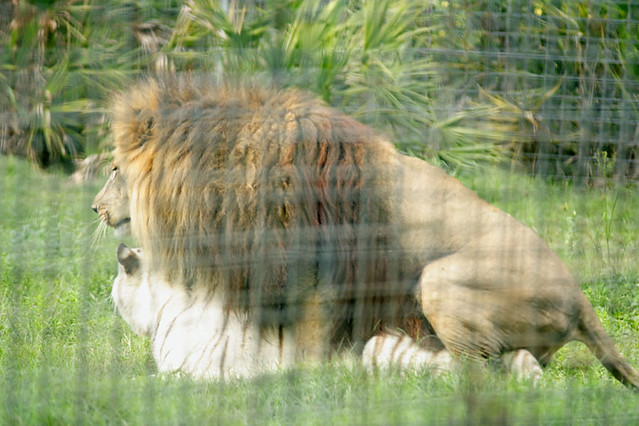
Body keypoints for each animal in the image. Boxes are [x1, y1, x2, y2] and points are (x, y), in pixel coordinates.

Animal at [94, 76, 639, 390]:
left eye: (115, 169)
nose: (97, 208)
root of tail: (580, 300)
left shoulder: (319, 279)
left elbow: (307, 351)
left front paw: (307, 378)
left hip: (438, 281)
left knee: (478, 373)